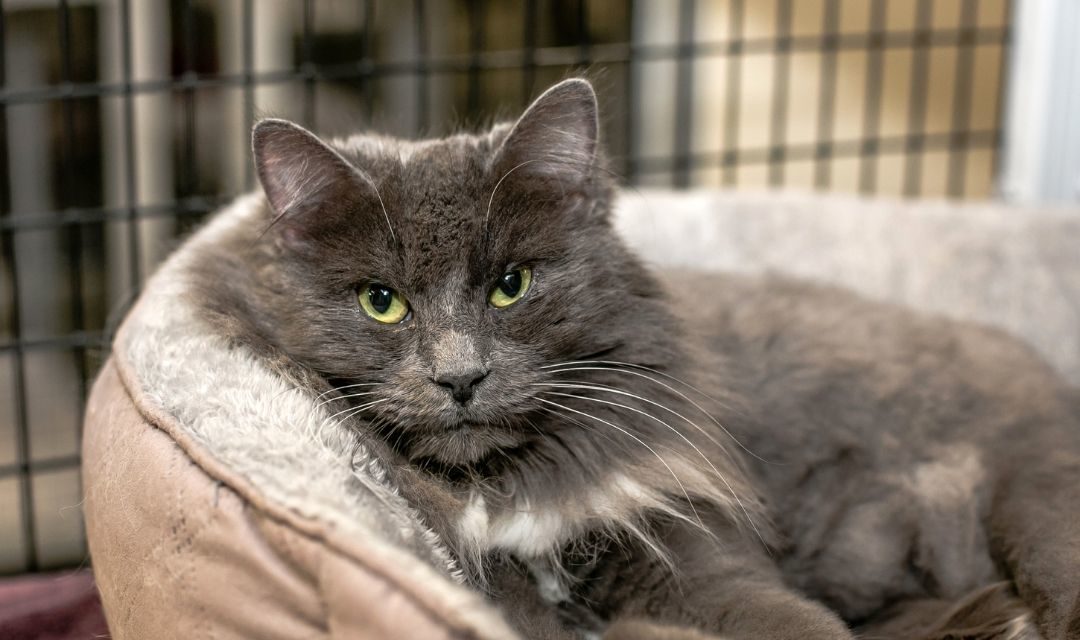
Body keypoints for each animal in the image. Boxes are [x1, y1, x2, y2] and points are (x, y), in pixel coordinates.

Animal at [190, 80, 1080, 638]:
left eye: (511, 286)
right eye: (382, 301)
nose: (460, 376)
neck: (510, 488)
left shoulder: (690, 551)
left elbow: (794, 622)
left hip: (1035, 505)